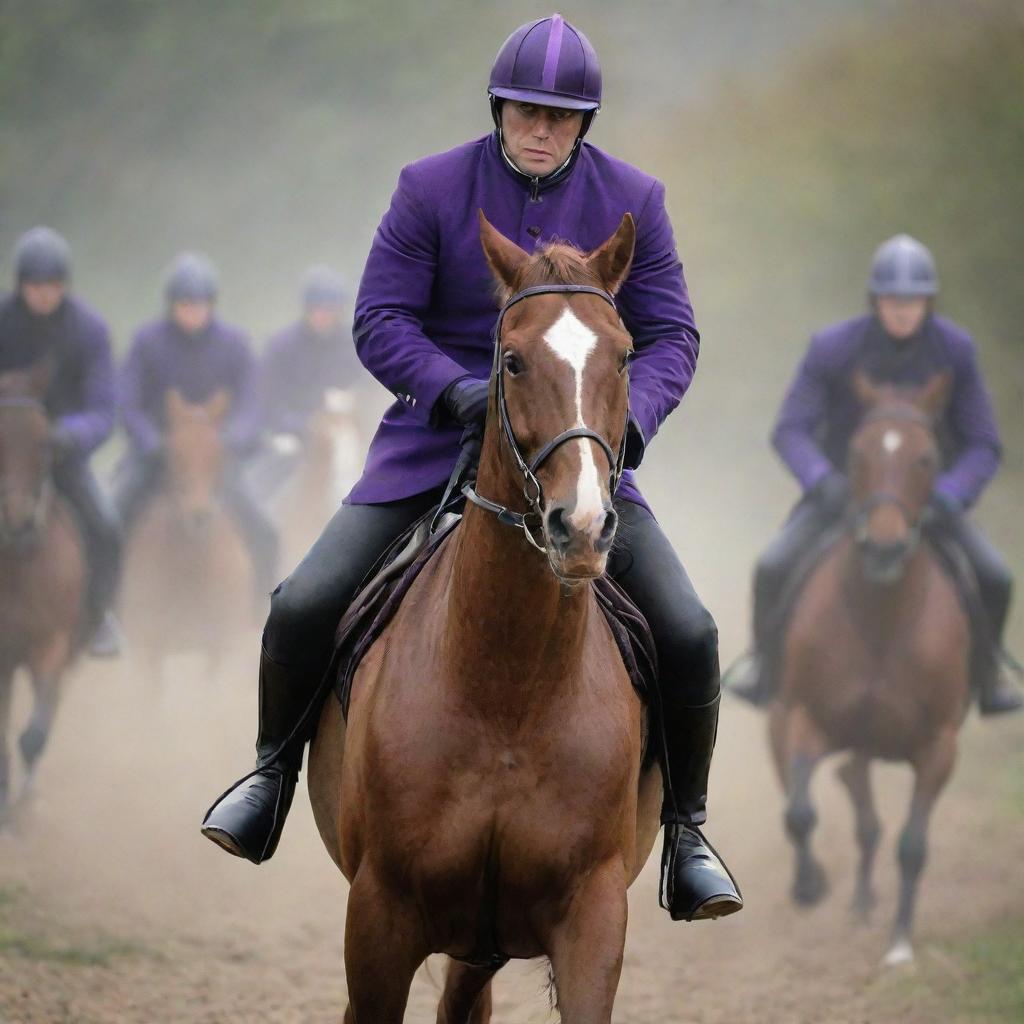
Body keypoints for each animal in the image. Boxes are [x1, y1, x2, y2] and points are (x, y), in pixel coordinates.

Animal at [305, 211, 663, 1019]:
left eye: (625, 356)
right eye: (512, 361)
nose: (582, 527)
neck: (508, 690)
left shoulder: (592, 914)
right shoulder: (378, 917)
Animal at [770, 370, 970, 966]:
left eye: (927, 458)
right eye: (856, 453)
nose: (884, 547)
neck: (882, 618)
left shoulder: (939, 746)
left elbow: (913, 844)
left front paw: (900, 942)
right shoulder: (803, 716)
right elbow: (800, 812)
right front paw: (809, 886)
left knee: (870, 818)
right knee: (853, 808)